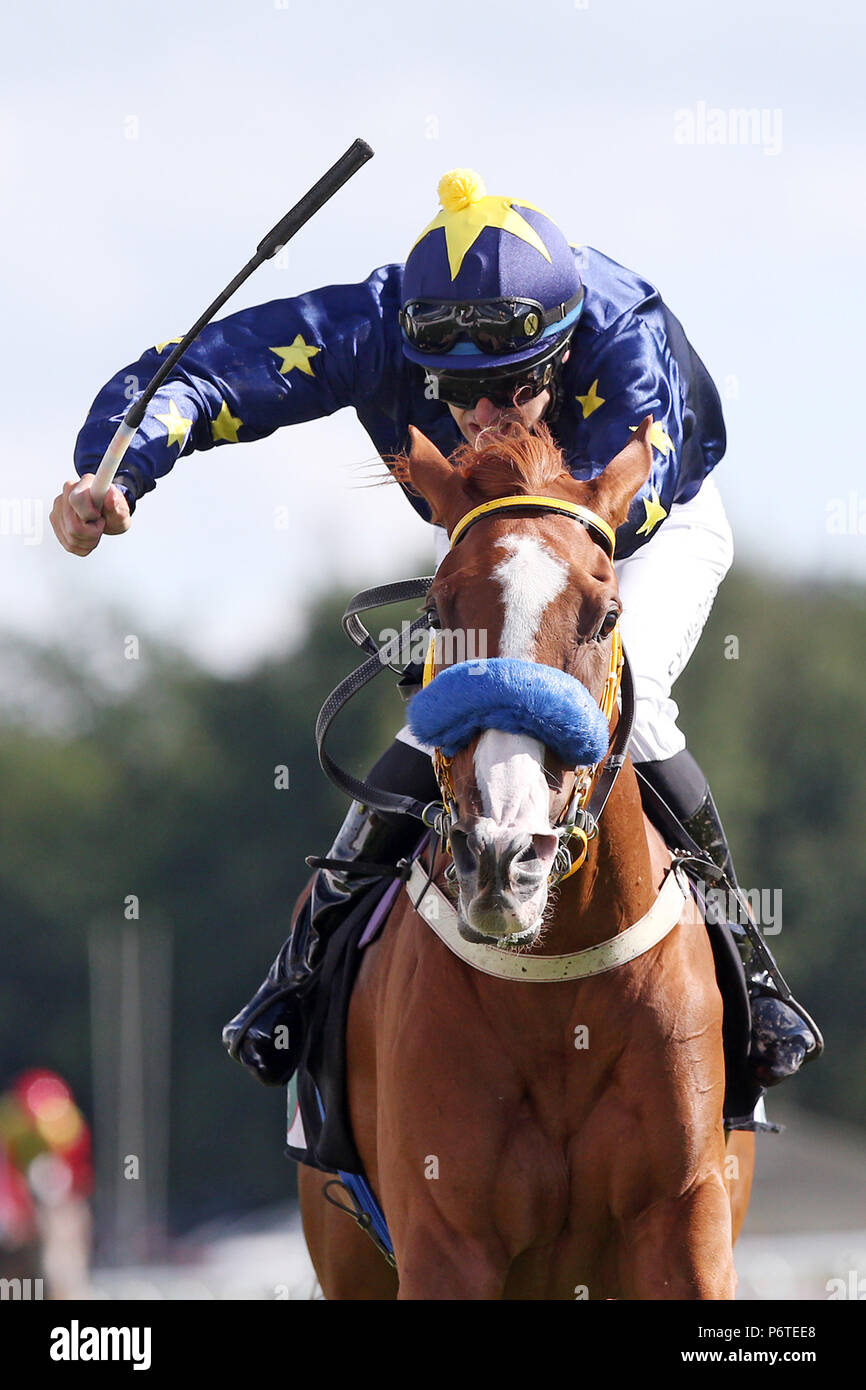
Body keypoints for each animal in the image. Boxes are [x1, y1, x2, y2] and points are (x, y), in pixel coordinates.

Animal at [296, 417, 750, 1295]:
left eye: (606, 616)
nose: (503, 856)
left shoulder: (684, 1218)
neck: (559, 996)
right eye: (438, 609)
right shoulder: (446, 1238)